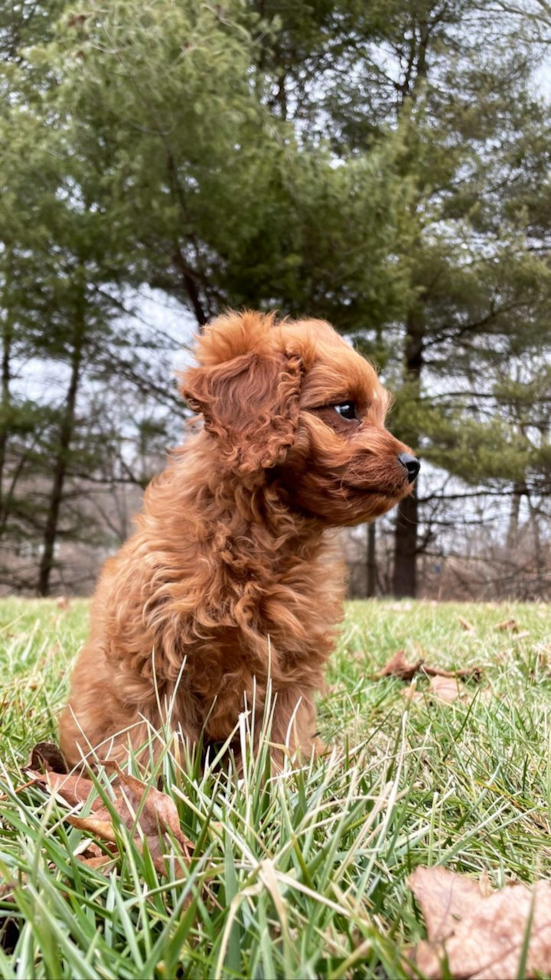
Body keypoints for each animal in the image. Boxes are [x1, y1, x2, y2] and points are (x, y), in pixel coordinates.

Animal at [60, 312, 420, 764]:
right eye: (346, 409)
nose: (414, 464)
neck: (260, 537)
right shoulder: (155, 663)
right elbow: (153, 748)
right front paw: (147, 784)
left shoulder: (287, 670)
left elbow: (278, 746)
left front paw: (277, 781)